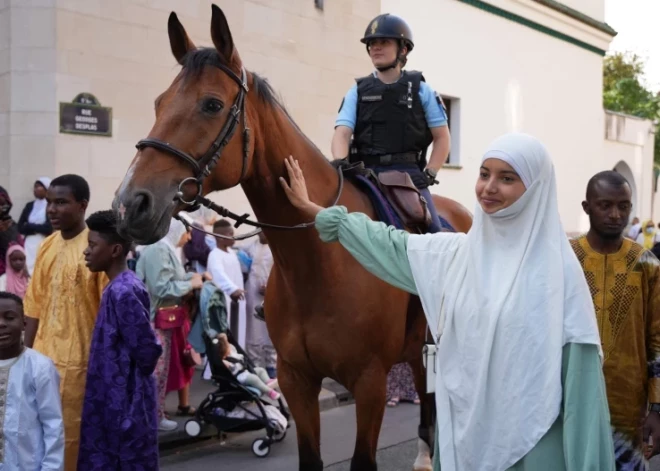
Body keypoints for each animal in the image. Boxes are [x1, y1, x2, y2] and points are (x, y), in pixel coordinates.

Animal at [114, 5, 474, 470]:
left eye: (212, 104)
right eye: (159, 102)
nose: (131, 203)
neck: (318, 261)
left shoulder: (370, 383)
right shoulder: (296, 380)